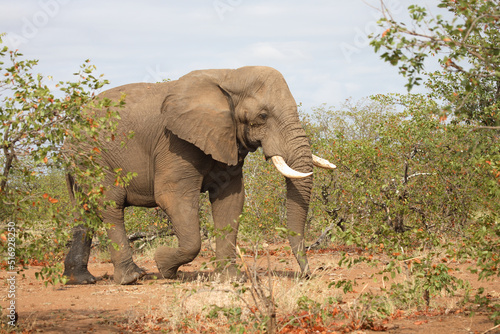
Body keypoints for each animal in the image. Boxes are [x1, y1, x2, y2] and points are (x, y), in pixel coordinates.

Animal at [62, 66, 336, 284]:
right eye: (263, 116)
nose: (308, 274)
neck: (229, 76)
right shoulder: (175, 143)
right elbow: (173, 197)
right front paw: (163, 265)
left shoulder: (226, 138)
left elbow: (230, 201)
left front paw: (231, 279)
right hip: (94, 156)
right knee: (111, 204)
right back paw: (133, 278)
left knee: (84, 212)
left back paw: (81, 280)